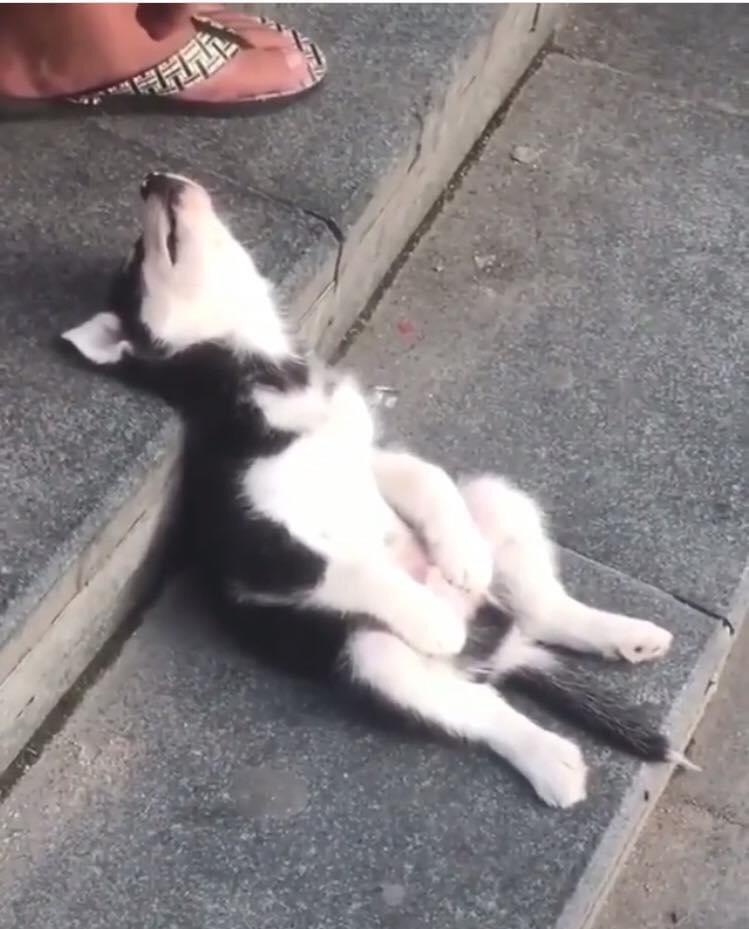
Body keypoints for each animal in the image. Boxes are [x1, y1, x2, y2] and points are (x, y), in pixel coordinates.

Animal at [62, 173, 694, 807]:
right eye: (138, 257)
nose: (153, 179)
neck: (271, 378)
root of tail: (498, 649)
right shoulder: (262, 545)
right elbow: (357, 570)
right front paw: (436, 620)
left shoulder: (366, 456)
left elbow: (426, 477)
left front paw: (462, 559)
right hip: (375, 656)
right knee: (486, 710)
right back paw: (551, 759)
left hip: (494, 499)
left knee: (542, 606)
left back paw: (623, 634)